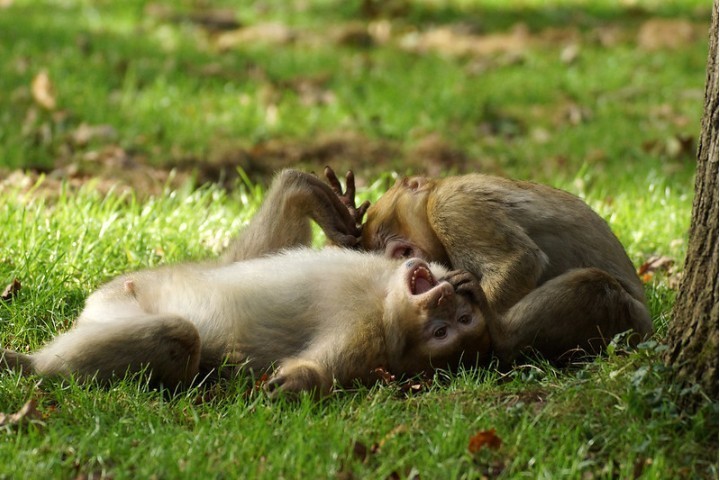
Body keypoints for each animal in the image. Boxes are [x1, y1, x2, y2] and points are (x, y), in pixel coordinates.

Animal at [0, 171, 492, 396]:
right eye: (452, 314)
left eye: (446, 329)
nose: (442, 296)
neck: (382, 295)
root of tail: (92, 313)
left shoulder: (368, 339)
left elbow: (315, 369)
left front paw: (296, 383)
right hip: (135, 287)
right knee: (235, 260)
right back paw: (305, 191)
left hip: (118, 314)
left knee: (180, 337)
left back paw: (31, 366)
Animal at [324, 169, 656, 364]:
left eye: (393, 245)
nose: (398, 260)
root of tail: (648, 329)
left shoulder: (452, 208)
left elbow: (521, 259)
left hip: (628, 320)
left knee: (597, 285)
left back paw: (501, 334)